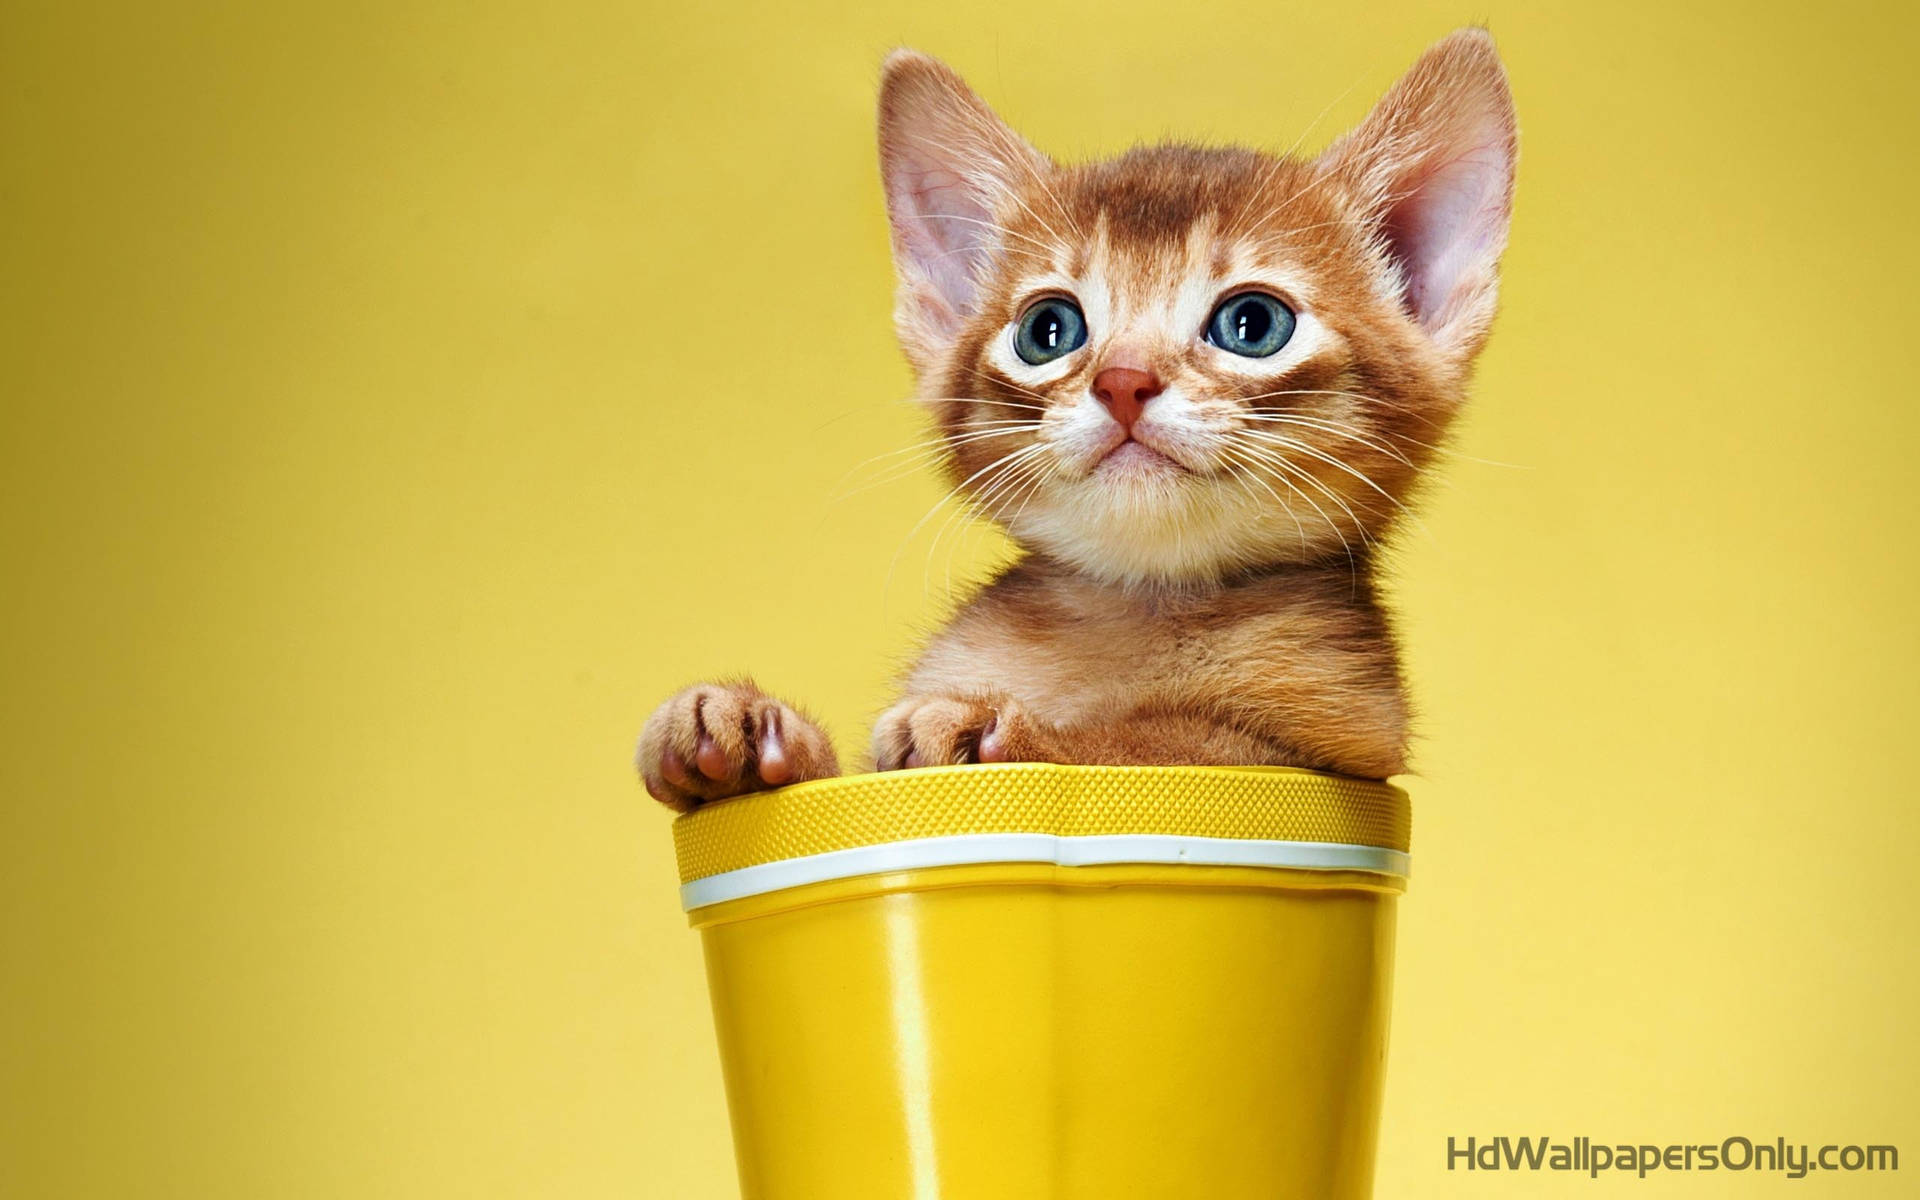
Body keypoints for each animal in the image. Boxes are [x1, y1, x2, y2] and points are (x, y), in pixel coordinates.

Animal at [637, 30, 1520, 814]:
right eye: (1048, 330)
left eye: (1253, 324)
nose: (1124, 382)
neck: (1132, 612)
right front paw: (753, 730)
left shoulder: (1337, 749)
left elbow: (1160, 743)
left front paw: (996, 728)